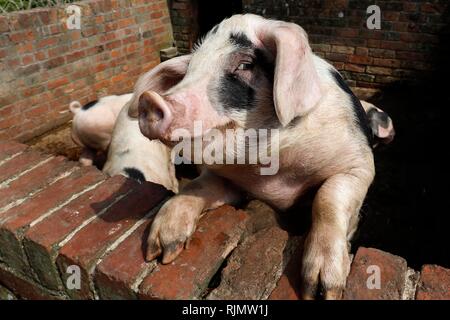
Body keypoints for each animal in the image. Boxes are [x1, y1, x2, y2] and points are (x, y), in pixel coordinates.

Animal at [127, 14, 394, 300]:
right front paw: (158, 252)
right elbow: (196, 187)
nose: (149, 101)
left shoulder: (358, 164)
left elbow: (327, 199)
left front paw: (322, 290)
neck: (272, 174)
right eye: (189, 72)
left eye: (245, 64)